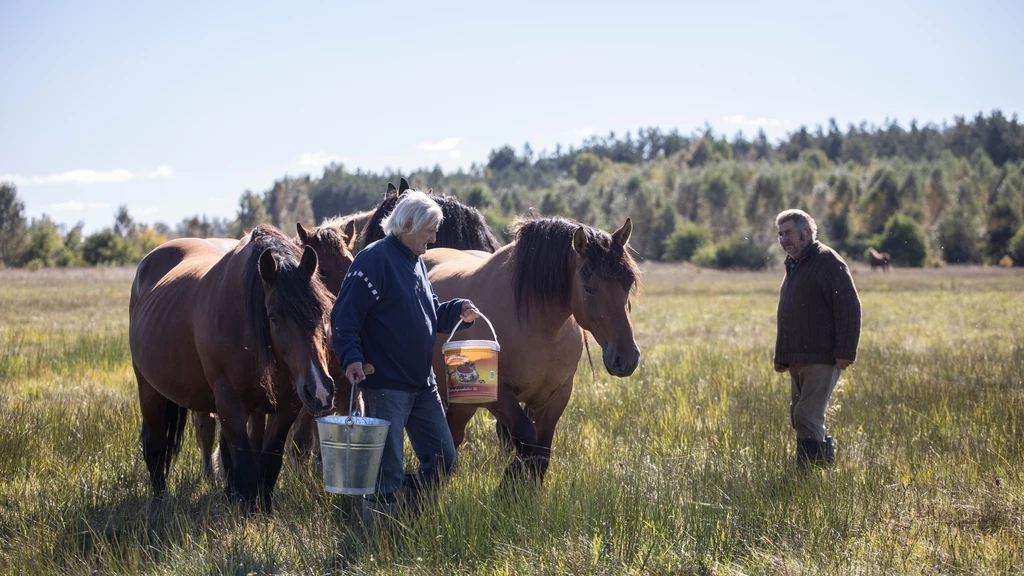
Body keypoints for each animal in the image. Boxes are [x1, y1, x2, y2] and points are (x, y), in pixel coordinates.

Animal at [128, 222, 335, 508]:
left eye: (322, 312)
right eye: (273, 317)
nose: (320, 391)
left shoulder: (287, 406)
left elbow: (267, 466)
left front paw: (261, 511)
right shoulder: (230, 402)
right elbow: (246, 469)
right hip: (149, 389)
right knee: (155, 446)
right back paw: (160, 502)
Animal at [423, 213, 638, 481]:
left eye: (629, 282)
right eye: (589, 288)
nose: (626, 359)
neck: (541, 329)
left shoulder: (556, 396)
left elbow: (541, 453)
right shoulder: (498, 395)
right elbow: (526, 440)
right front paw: (509, 485)